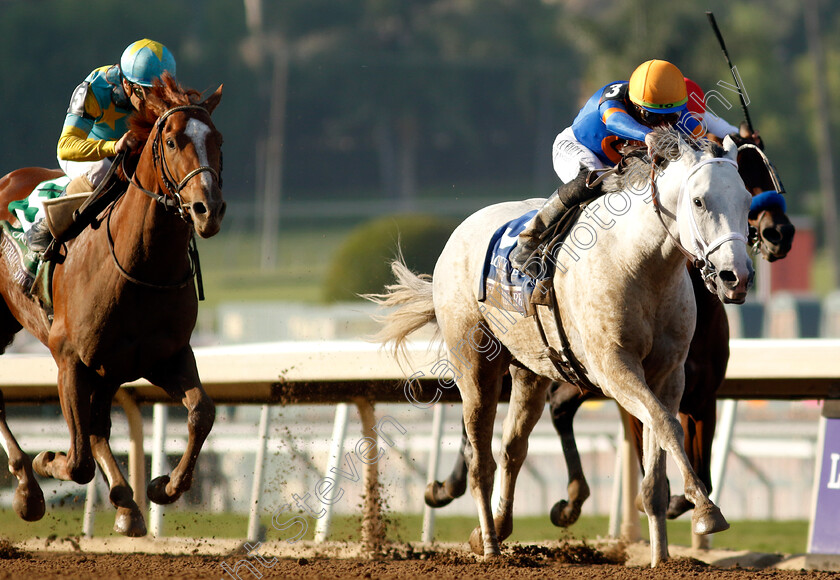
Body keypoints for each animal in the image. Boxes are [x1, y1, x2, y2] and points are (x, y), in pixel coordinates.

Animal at [0, 75, 225, 536]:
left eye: (219, 140)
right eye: (172, 141)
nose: (207, 209)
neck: (140, 265)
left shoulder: (165, 356)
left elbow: (201, 412)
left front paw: (164, 486)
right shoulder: (69, 358)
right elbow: (78, 461)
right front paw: (47, 461)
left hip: (108, 367)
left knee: (100, 428)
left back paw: (126, 505)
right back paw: (28, 488)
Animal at [370, 130, 752, 568]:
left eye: (747, 200)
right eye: (699, 200)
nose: (736, 277)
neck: (640, 263)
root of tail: (458, 232)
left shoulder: (669, 375)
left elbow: (658, 450)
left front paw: (663, 558)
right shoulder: (614, 369)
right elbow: (666, 425)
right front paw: (707, 511)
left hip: (531, 371)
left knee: (512, 449)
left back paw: (495, 528)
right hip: (475, 366)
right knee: (480, 459)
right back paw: (490, 547)